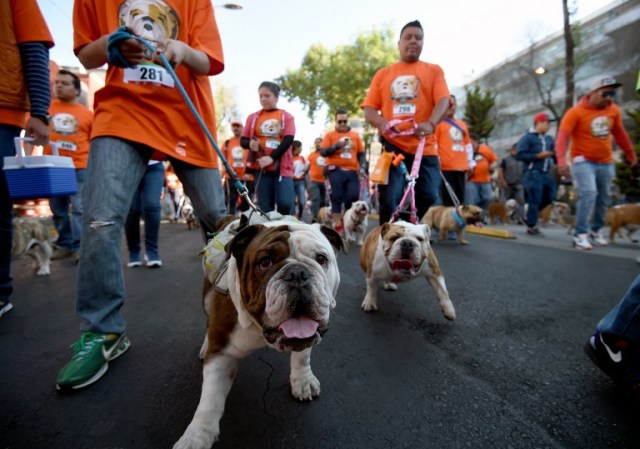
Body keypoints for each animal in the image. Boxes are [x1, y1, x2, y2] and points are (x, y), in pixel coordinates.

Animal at [172, 218, 344, 448]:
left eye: (321, 259)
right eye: (264, 262)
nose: (298, 273)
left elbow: (302, 357)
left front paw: (302, 380)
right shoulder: (220, 353)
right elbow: (211, 398)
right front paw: (196, 436)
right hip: (207, 298)